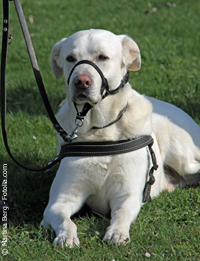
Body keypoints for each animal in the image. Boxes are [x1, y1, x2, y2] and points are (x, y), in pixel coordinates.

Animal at [40, 29, 200, 247]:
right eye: (70, 58)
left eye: (102, 57)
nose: (81, 81)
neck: (99, 131)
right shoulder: (60, 200)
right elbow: (65, 220)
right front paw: (66, 236)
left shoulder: (128, 196)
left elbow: (121, 214)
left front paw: (117, 232)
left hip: (182, 156)